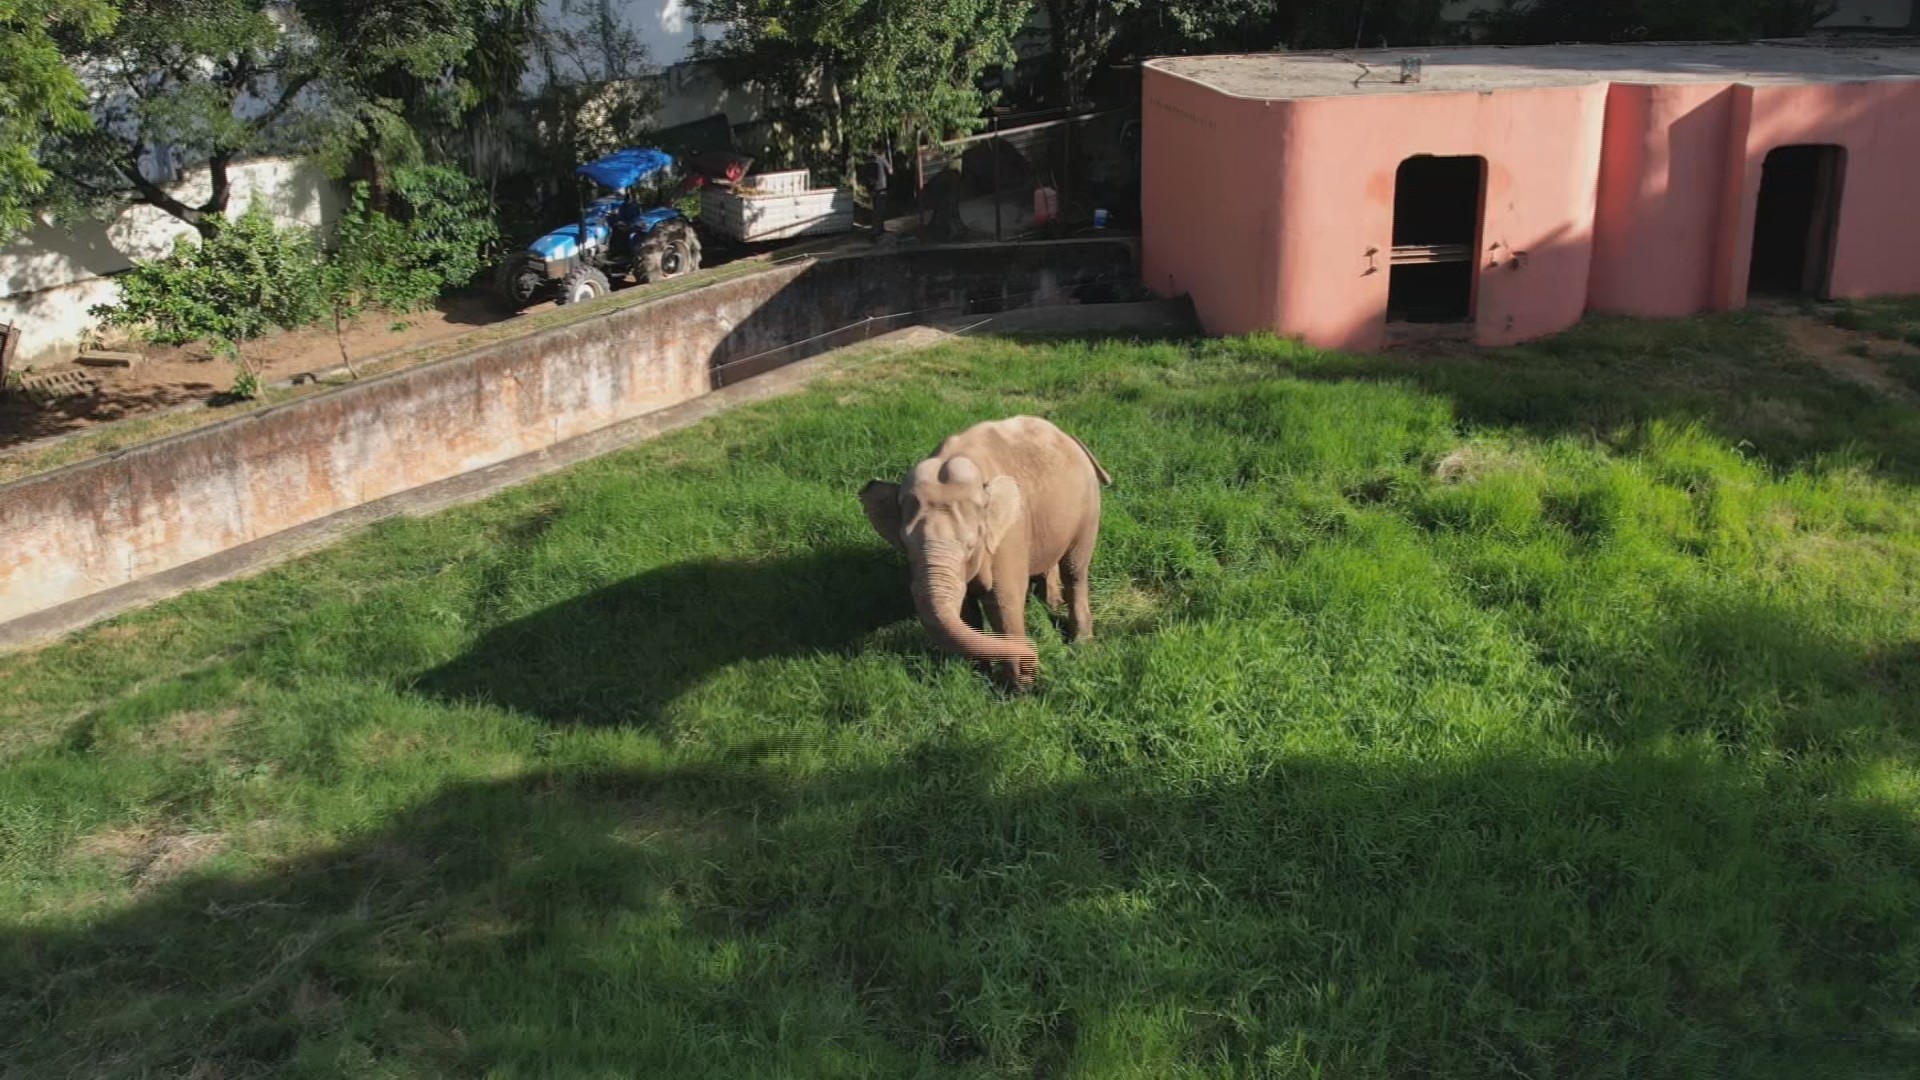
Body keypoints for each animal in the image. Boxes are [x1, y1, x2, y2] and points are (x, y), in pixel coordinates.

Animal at [860, 415, 1111, 688]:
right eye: (905, 546)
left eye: (971, 546)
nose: (1037, 656)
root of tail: (1067, 436)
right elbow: (964, 608)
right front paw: (978, 676)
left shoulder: (1010, 536)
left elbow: (1004, 602)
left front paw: (1018, 689)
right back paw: (1052, 603)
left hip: (1089, 508)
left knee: (1075, 569)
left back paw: (1081, 642)